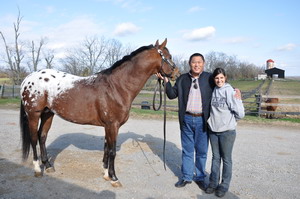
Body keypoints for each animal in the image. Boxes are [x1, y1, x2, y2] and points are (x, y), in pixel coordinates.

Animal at [20, 38, 180, 187]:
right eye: (169, 56)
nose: (176, 74)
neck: (117, 87)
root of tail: (27, 79)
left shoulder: (108, 126)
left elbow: (106, 149)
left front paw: (106, 173)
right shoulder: (112, 125)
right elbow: (112, 151)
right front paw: (114, 178)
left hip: (48, 114)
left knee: (42, 136)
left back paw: (48, 165)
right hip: (34, 114)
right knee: (34, 138)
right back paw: (37, 169)